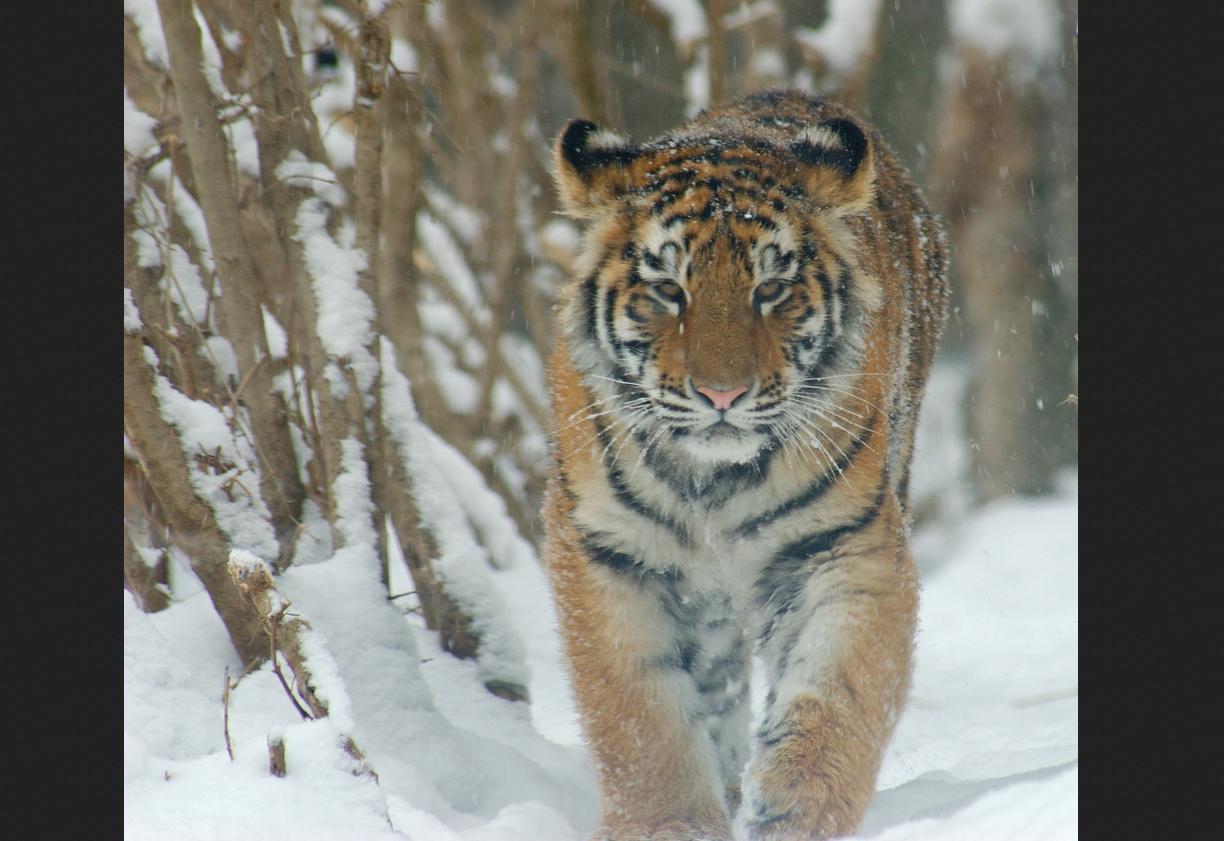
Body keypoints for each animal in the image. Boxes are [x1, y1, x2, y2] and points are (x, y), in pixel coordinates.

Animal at [541, 88, 949, 837]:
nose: (722, 394)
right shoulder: (609, 552)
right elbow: (639, 718)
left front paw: (794, 810)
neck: (713, 481)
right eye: (669, 290)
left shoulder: (844, 546)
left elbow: (836, 694)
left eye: (771, 289)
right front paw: (670, 824)